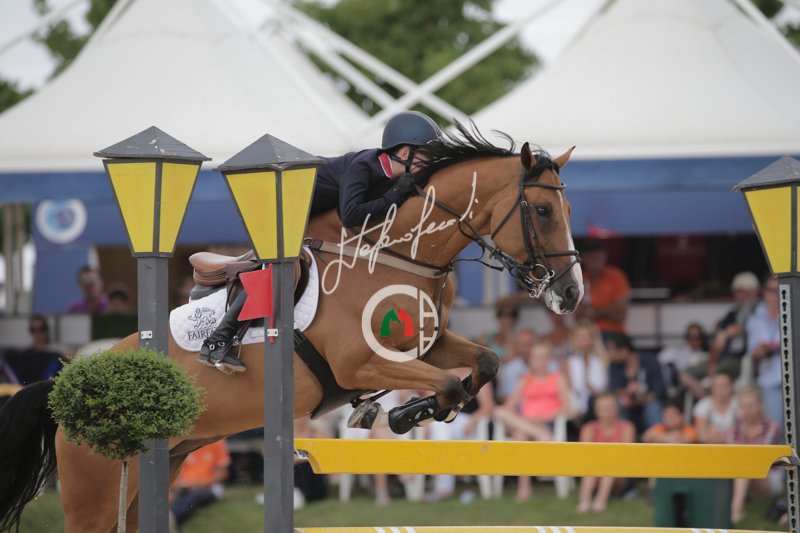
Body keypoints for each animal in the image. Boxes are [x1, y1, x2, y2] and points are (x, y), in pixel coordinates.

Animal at [0, 125, 583, 532]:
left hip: (155, 472)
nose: (572, 294)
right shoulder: (359, 362)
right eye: (541, 209)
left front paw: (413, 412)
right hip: (96, 489)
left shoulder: (428, 344)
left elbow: (485, 362)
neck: (396, 254)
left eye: (567, 207)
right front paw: (405, 414)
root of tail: (65, 386)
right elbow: (444, 383)